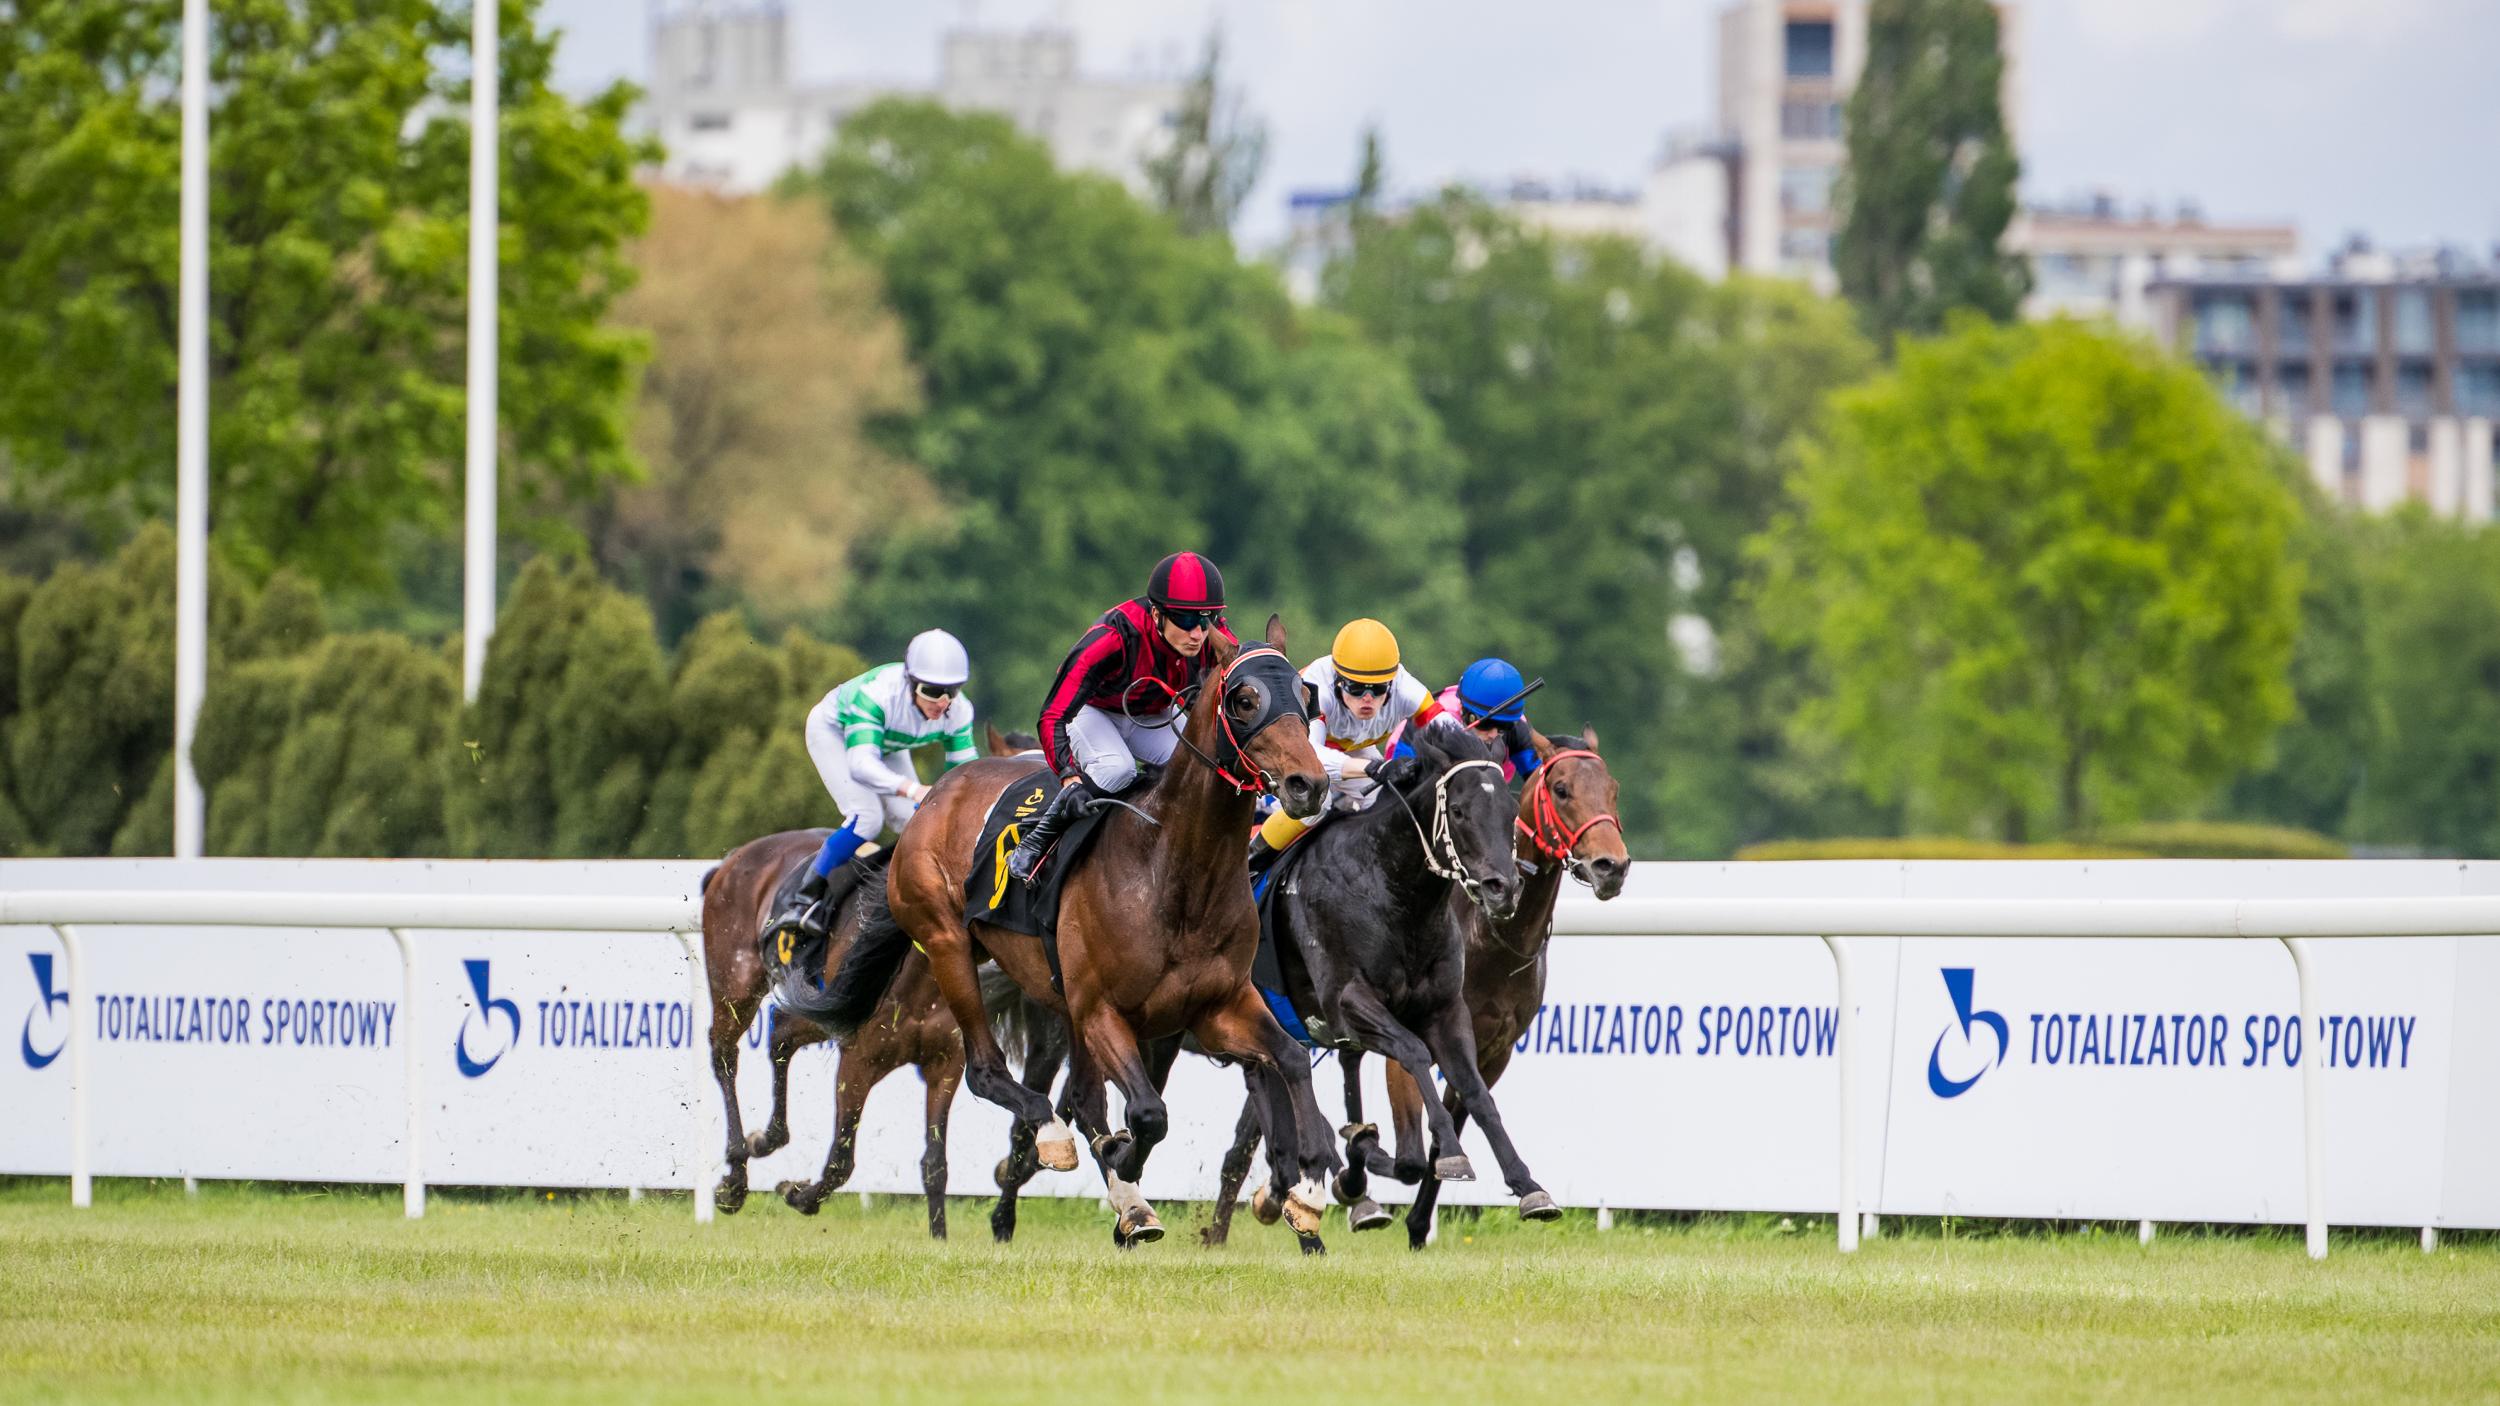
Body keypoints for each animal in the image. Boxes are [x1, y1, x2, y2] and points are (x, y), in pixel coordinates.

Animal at [700, 720, 1070, 1235]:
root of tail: (734, 859)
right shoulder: (858, 1062)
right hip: (736, 982)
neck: (923, 975)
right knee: (725, 1052)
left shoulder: (942, 1064)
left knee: (780, 1034)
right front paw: (798, 1194)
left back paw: (763, 1140)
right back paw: (734, 1175)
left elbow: (935, 1164)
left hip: (823, 1007)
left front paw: (939, 1238)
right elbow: (842, 1159)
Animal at [815, 617, 1350, 1240]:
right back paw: (1054, 1140)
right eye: (1245, 700)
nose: (1308, 785)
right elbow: (1147, 1113)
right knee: (988, 1071)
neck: (1173, 871)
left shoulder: (1216, 1008)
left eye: (1307, 700)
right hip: (949, 945)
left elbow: (1288, 1059)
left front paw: (1307, 1191)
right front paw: (1119, 1165)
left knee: (1084, 1096)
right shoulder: (1102, 1010)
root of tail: (937, 794)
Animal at [1200, 720, 1550, 1245]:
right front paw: (1448, 1151)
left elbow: (1475, 1093)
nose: (1503, 889)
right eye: (1460, 811)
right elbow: (1413, 1052)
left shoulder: (1446, 1011)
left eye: (1511, 812)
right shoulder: (1349, 1003)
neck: (1392, 892)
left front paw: (1528, 1185)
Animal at [1360, 725, 1630, 1240]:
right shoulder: (1406, 1039)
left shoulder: (1492, 1051)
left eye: (1613, 789)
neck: (1489, 940)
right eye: (1561, 789)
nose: (1612, 867)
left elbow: (1458, 1120)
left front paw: (1421, 1224)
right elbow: (1413, 1142)